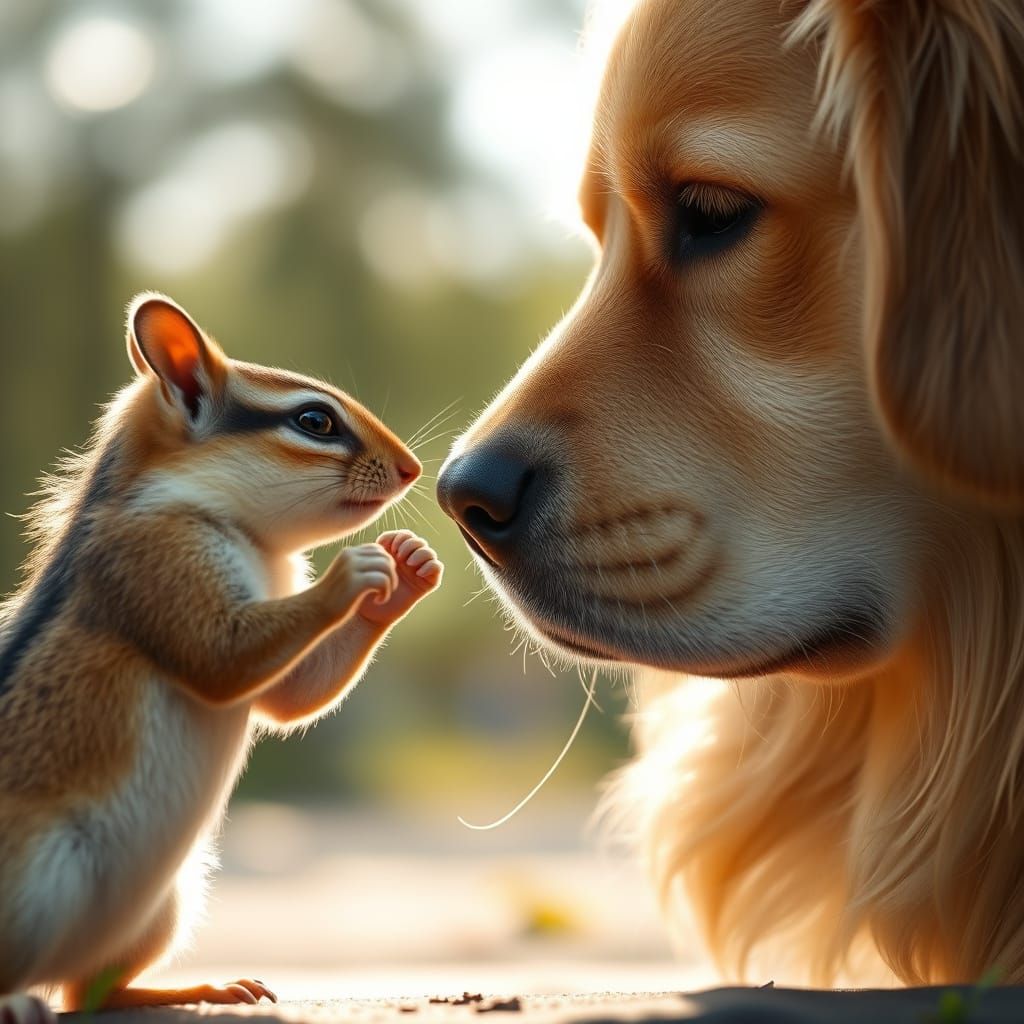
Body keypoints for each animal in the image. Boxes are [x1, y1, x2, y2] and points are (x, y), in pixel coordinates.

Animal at [0, 294, 443, 1023]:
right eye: (315, 420)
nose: (411, 469)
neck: (252, 539)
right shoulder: (156, 562)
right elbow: (222, 657)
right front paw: (354, 573)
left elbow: (290, 696)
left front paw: (408, 567)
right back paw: (19, 1001)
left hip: (165, 906)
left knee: (91, 991)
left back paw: (199, 987)